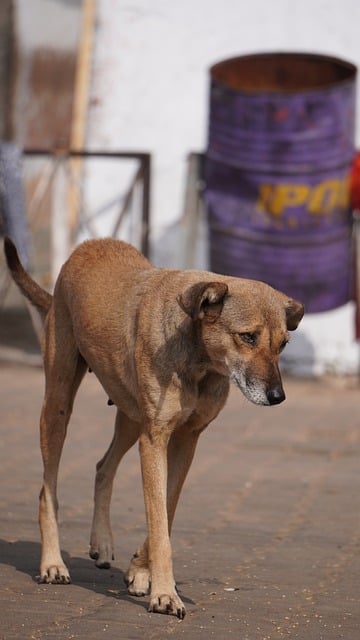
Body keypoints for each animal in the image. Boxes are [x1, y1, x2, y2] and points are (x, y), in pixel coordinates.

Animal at [4, 238, 304, 616]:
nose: (278, 396)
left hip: (130, 416)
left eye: (283, 344)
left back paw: (102, 542)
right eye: (247, 337)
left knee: (103, 467)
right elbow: (159, 522)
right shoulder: (155, 438)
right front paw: (163, 593)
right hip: (59, 403)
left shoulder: (186, 439)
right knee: (48, 490)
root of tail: (88, 246)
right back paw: (53, 564)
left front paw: (140, 572)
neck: (199, 359)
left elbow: (167, 508)